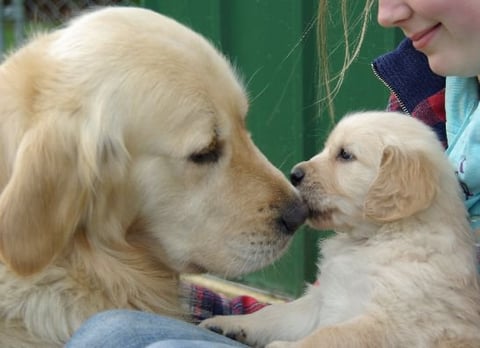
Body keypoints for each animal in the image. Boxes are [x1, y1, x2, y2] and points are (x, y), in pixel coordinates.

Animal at [201, 112, 480, 348]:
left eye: (345, 155)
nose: (294, 174)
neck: (372, 239)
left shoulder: (392, 322)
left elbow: (330, 334)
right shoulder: (321, 299)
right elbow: (275, 313)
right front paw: (230, 323)